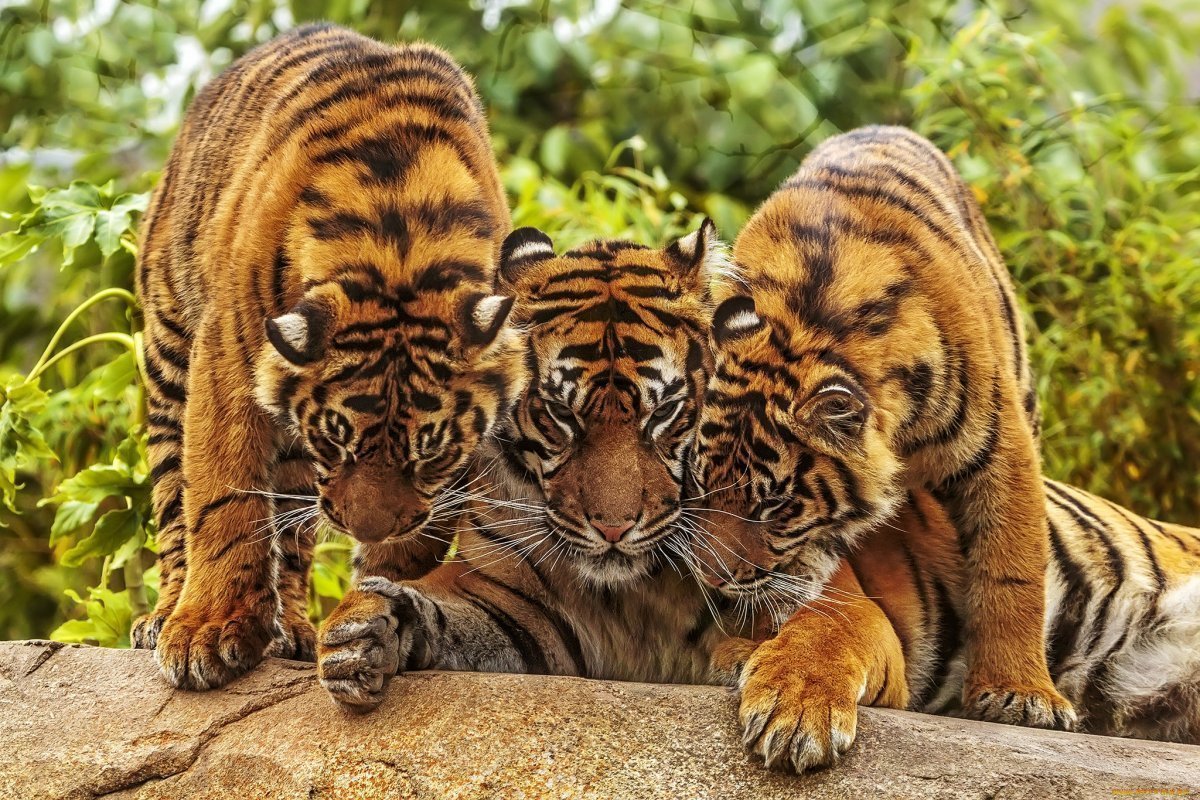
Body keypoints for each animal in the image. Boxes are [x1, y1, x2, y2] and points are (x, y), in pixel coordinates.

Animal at [133, 24, 525, 690]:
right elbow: (223, 497)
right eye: (338, 443)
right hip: (168, 354)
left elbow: (411, 543)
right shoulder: (225, 358)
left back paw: (290, 628)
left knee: (290, 534)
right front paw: (207, 633)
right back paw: (164, 618)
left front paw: (374, 619)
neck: (400, 243)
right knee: (173, 504)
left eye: (431, 454)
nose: (361, 527)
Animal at [685, 125, 1076, 755]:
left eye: (773, 508)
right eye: (697, 489)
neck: (803, 323)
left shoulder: (1001, 448)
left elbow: (1011, 570)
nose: (713, 583)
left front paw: (1020, 694)